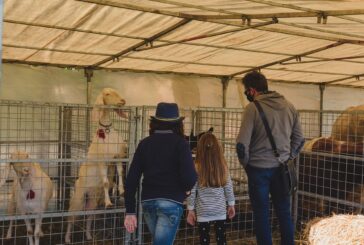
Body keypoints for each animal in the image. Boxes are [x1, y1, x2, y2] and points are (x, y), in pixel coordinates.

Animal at [65, 87, 128, 243]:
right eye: (107, 94)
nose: (123, 101)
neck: (107, 131)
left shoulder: (117, 158)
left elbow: (120, 174)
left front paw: (122, 191)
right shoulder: (101, 162)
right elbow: (105, 183)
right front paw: (109, 203)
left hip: (92, 202)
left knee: (88, 217)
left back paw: (88, 236)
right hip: (78, 199)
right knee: (71, 218)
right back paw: (67, 238)